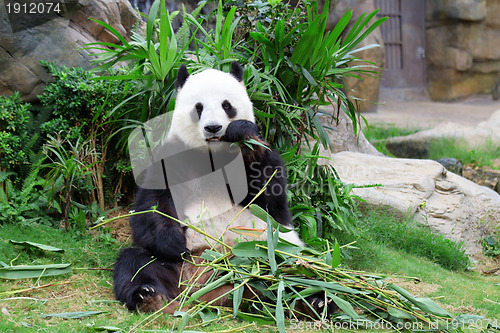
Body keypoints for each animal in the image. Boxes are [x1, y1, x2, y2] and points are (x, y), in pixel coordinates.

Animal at [114, 62, 306, 314]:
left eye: (227, 105)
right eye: (198, 107)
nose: (213, 128)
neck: (212, 155)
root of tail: (208, 289)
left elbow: (269, 197)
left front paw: (242, 133)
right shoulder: (172, 157)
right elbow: (154, 204)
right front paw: (174, 243)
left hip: (271, 251)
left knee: (291, 273)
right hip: (172, 266)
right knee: (136, 264)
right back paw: (148, 296)